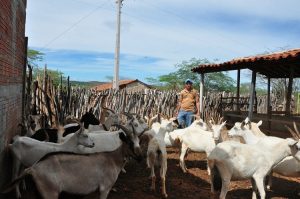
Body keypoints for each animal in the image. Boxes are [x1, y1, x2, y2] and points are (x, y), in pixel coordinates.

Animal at [2, 124, 143, 197]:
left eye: (139, 141)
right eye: (130, 143)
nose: (140, 157)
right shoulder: (104, 187)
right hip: (17, 163)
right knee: (14, 175)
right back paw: (18, 194)